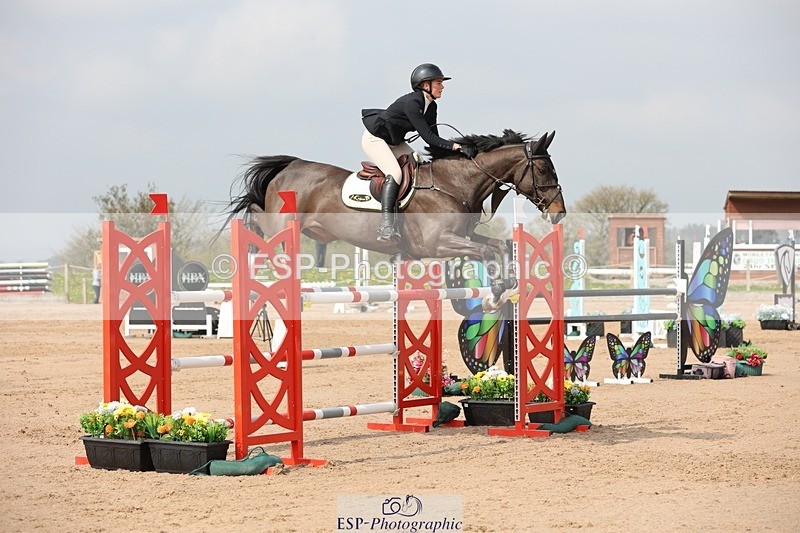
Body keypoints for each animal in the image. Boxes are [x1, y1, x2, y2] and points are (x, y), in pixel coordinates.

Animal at [225, 129, 565, 261]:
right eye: (544, 169)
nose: (559, 212)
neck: (452, 185)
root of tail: (290, 166)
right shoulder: (436, 245)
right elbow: (485, 252)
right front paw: (497, 293)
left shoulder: (462, 236)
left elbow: (497, 246)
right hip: (280, 225)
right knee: (259, 220)